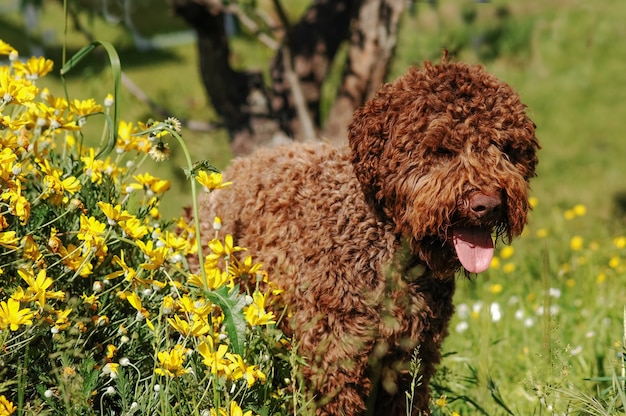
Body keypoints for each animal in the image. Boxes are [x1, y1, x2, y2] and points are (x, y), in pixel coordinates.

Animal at [199, 59, 536, 416]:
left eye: (506, 150)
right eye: (442, 150)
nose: (488, 204)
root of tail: (238, 166)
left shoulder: (409, 361)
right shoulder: (334, 360)